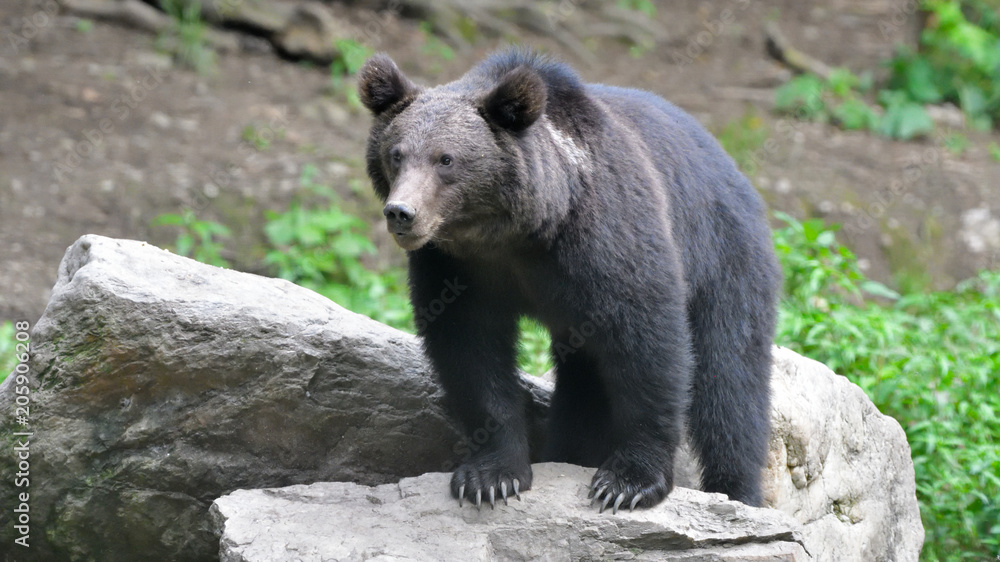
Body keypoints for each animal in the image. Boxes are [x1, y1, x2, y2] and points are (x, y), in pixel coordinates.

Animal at [358, 48, 781, 513]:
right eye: (396, 154)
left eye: (445, 159)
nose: (401, 212)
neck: (516, 233)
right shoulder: (454, 268)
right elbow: (470, 352)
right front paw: (491, 477)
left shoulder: (606, 240)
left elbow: (649, 345)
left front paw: (628, 482)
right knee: (584, 384)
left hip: (724, 257)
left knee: (731, 379)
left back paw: (738, 490)